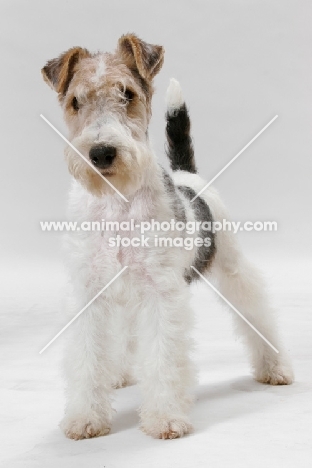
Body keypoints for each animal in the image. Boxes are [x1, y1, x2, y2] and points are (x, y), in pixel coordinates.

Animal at [40, 34, 292, 440]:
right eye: (75, 101)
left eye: (127, 94)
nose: (102, 153)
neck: (117, 200)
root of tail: (187, 173)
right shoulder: (89, 291)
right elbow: (88, 357)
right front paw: (85, 418)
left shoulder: (161, 292)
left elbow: (163, 358)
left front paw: (165, 419)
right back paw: (119, 374)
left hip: (233, 268)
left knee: (258, 313)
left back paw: (276, 367)